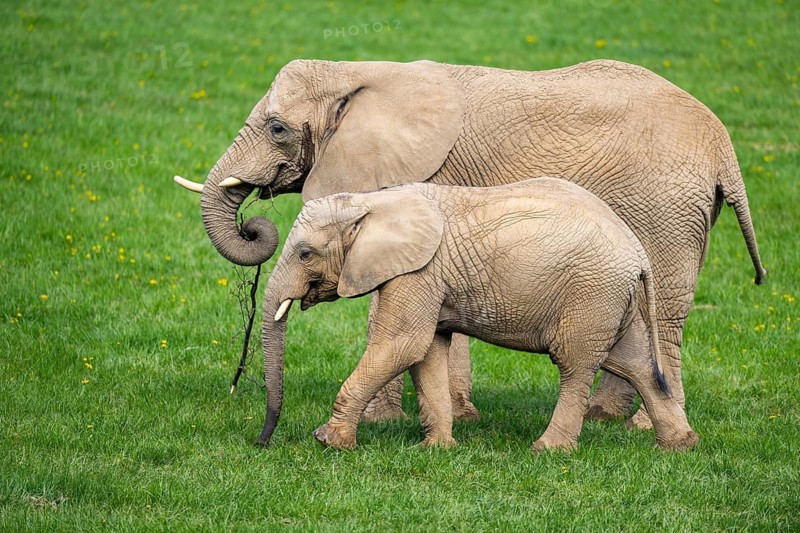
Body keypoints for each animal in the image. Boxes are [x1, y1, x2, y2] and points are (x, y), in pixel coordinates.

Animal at [258, 178, 700, 452]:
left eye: (305, 254)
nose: (261, 442)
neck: (370, 201)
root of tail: (638, 253)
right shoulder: (426, 277)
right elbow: (427, 352)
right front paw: (436, 448)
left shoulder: (419, 272)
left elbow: (402, 345)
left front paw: (327, 441)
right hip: (612, 300)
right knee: (636, 364)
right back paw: (679, 446)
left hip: (591, 295)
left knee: (575, 365)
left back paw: (547, 450)